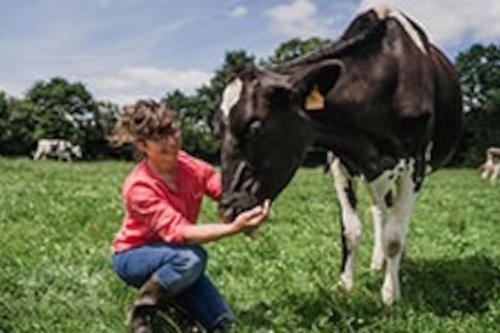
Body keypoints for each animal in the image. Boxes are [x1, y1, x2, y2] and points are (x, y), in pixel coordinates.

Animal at [217, 6, 462, 304]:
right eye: (218, 128)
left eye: (254, 125)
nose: (227, 209)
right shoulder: (339, 162)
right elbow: (350, 230)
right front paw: (345, 285)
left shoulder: (415, 164)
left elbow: (394, 236)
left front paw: (390, 295)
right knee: (379, 209)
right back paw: (378, 262)